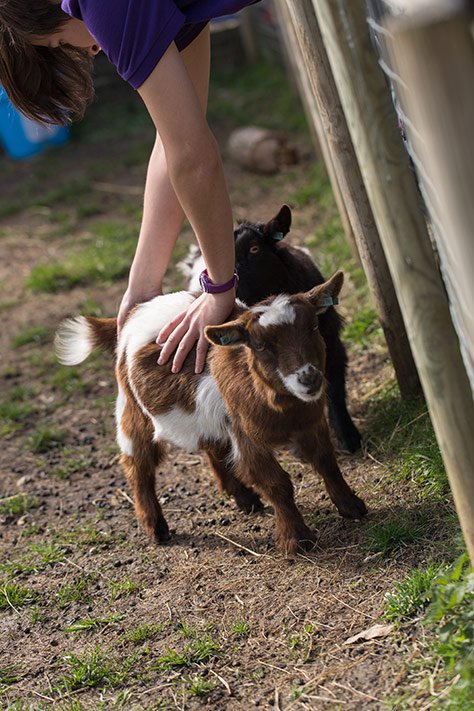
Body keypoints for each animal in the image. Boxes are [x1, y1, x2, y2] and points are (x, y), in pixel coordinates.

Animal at [55, 270, 366, 552]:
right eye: (261, 345)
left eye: (313, 327)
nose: (308, 378)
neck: (282, 407)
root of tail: (135, 311)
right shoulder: (247, 437)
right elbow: (277, 484)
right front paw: (298, 541)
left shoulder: (311, 423)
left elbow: (327, 462)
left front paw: (353, 507)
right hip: (132, 411)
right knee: (137, 464)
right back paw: (155, 528)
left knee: (212, 447)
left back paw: (245, 499)